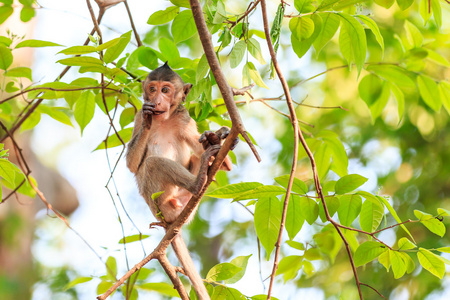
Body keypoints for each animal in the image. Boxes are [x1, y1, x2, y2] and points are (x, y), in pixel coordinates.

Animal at [125, 62, 237, 298]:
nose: (157, 100)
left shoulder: (185, 120)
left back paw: (210, 156)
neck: (164, 119)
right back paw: (197, 182)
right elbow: (132, 164)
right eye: (152, 89)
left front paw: (215, 138)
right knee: (152, 164)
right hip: (157, 199)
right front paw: (148, 120)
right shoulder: (138, 116)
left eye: (165, 90)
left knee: (198, 157)